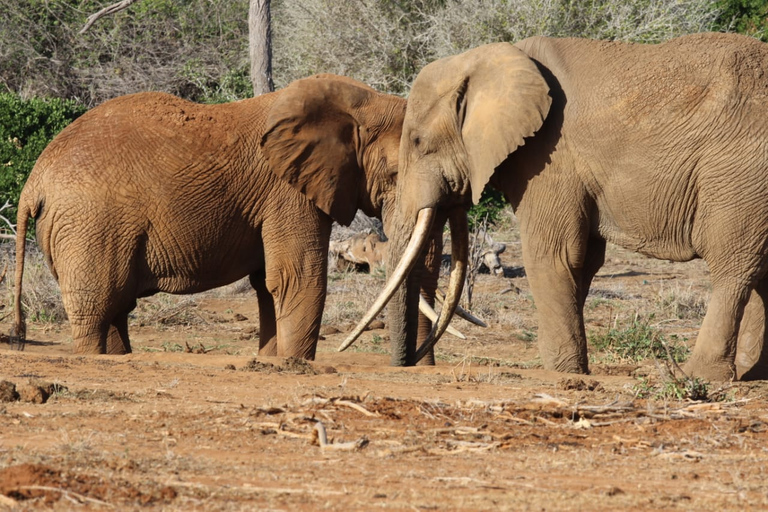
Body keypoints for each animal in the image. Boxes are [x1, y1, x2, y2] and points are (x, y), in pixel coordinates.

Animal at [12, 74, 456, 358]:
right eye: (398, 174)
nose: (417, 363)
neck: (357, 101)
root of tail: (33, 182)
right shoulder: (286, 192)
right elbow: (298, 276)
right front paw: (293, 364)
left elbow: (268, 284)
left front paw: (271, 360)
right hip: (88, 225)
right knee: (96, 308)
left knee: (116, 309)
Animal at [344, 30, 768, 378]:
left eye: (417, 142)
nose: (409, 363)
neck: (489, 60)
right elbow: (583, 261)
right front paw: (573, 367)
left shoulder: (550, 157)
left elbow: (554, 254)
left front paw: (562, 372)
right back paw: (753, 375)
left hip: (737, 174)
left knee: (732, 268)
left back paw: (701, 375)